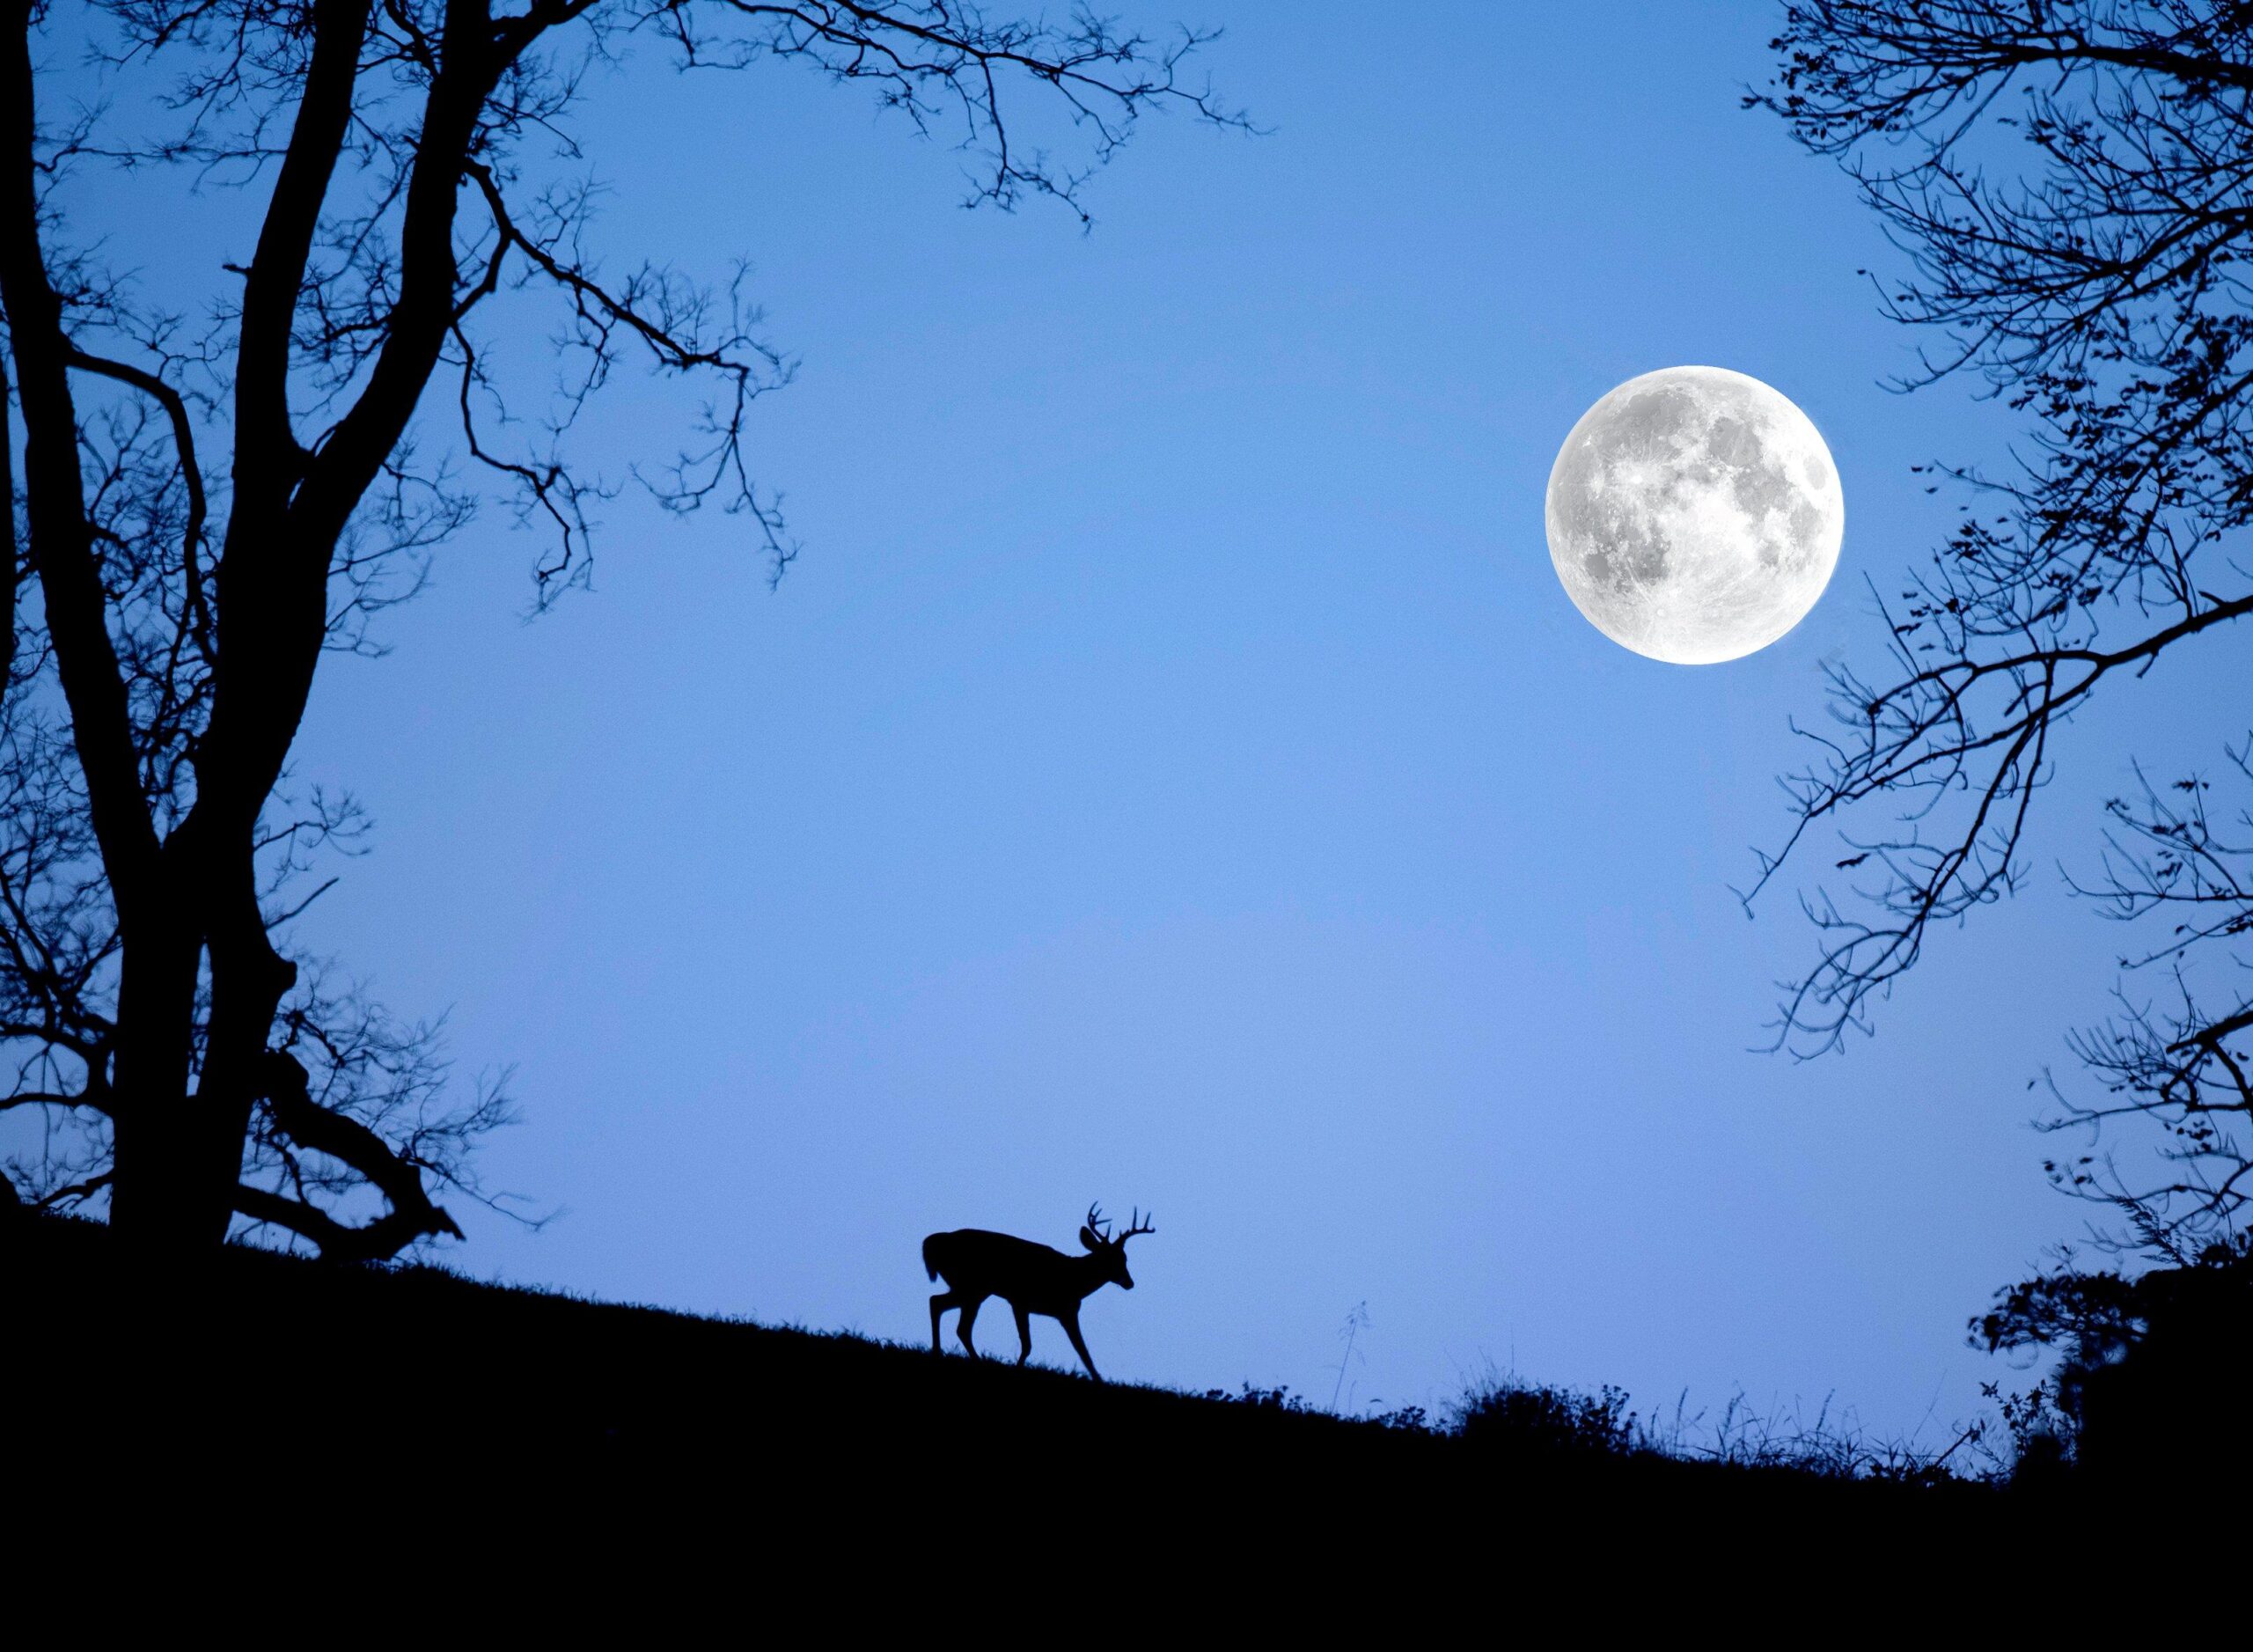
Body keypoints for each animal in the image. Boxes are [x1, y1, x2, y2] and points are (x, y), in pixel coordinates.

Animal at [922, 1203, 1156, 1382]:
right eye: (1114, 1260)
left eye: (1124, 1259)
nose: (1129, 1282)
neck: (1075, 1280)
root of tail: (932, 1242)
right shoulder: (1021, 1301)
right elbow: (1028, 1345)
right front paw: (1018, 1370)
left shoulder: (1066, 1313)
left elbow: (1083, 1351)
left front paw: (1098, 1379)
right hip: (971, 1285)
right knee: (951, 1317)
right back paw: (958, 1357)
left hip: (972, 1288)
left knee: (942, 1308)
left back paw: (942, 1353)